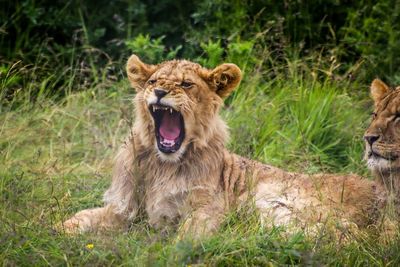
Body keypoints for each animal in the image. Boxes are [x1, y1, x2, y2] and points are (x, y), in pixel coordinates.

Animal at [62, 56, 388, 237]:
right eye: (153, 81)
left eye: (186, 84)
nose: (160, 91)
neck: (162, 165)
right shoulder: (124, 209)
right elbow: (80, 218)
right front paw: (54, 231)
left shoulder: (205, 209)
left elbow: (188, 236)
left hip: (273, 200)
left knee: (343, 232)